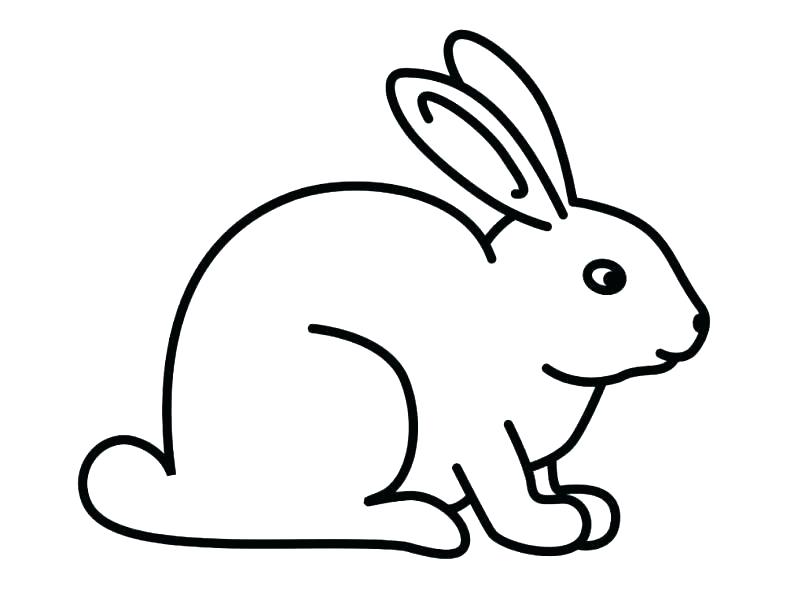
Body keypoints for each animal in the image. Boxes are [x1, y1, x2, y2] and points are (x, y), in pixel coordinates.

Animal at [78, 30, 709, 558]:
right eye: (606, 277)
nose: (697, 326)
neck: (513, 319)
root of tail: (196, 485)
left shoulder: (536, 455)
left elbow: (543, 476)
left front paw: (588, 509)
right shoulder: (481, 437)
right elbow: (503, 488)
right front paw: (549, 528)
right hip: (365, 391)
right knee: (319, 516)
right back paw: (427, 525)